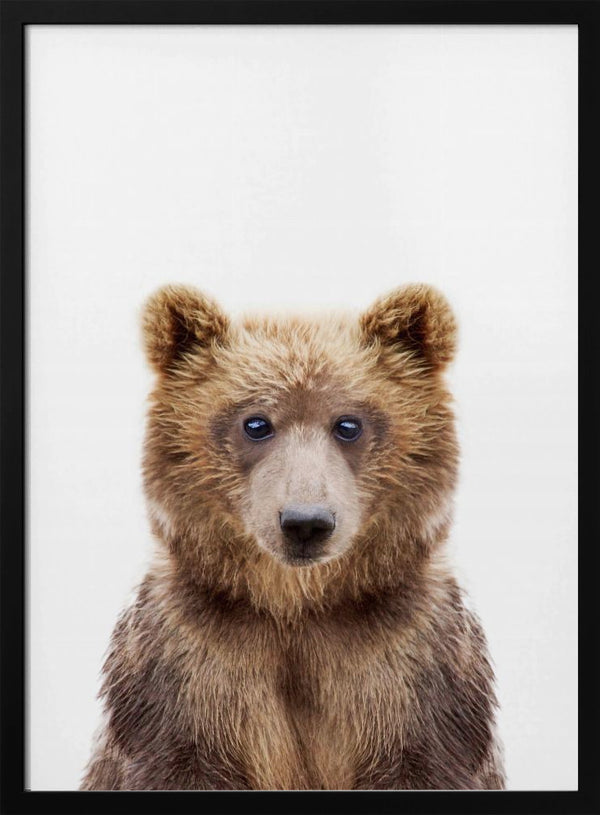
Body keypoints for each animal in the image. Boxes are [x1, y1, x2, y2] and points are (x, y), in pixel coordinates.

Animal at [80, 283, 505, 791]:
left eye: (348, 423)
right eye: (256, 423)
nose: (306, 522)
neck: (297, 605)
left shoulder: (413, 668)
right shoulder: (186, 669)